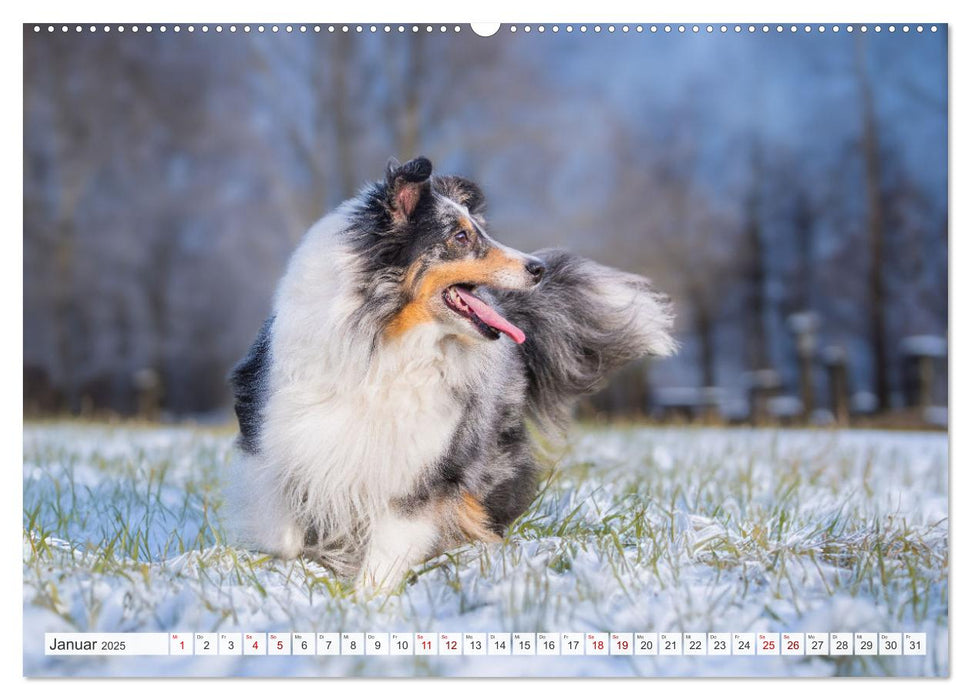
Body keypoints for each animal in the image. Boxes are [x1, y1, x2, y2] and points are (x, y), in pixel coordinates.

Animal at [228, 156, 676, 588]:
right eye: (460, 237)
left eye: (479, 231)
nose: (538, 268)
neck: (384, 345)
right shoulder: (275, 437)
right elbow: (282, 531)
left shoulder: (422, 464)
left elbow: (389, 549)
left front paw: (368, 599)